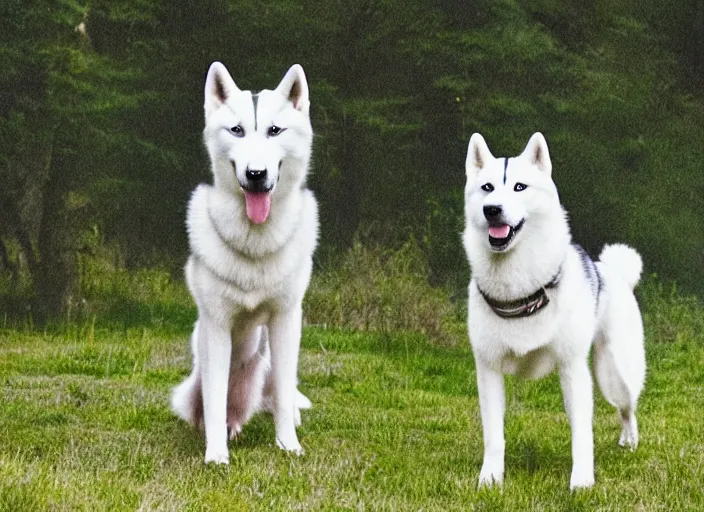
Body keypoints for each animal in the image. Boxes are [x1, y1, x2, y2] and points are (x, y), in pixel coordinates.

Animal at [173, 62, 320, 462]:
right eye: (237, 130)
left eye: (274, 130)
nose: (256, 175)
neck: (255, 241)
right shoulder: (216, 327)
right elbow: (214, 400)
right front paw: (216, 456)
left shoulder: (286, 320)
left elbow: (284, 394)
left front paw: (289, 446)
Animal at [464, 131, 648, 488]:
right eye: (487, 187)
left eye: (519, 187)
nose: (492, 210)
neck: (520, 288)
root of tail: (612, 271)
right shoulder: (488, 370)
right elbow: (494, 435)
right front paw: (490, 480)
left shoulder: (573, 370)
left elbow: (582, 435)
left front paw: (582, 482)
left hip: (614, 375)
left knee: (627, 409)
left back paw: (629, 441)